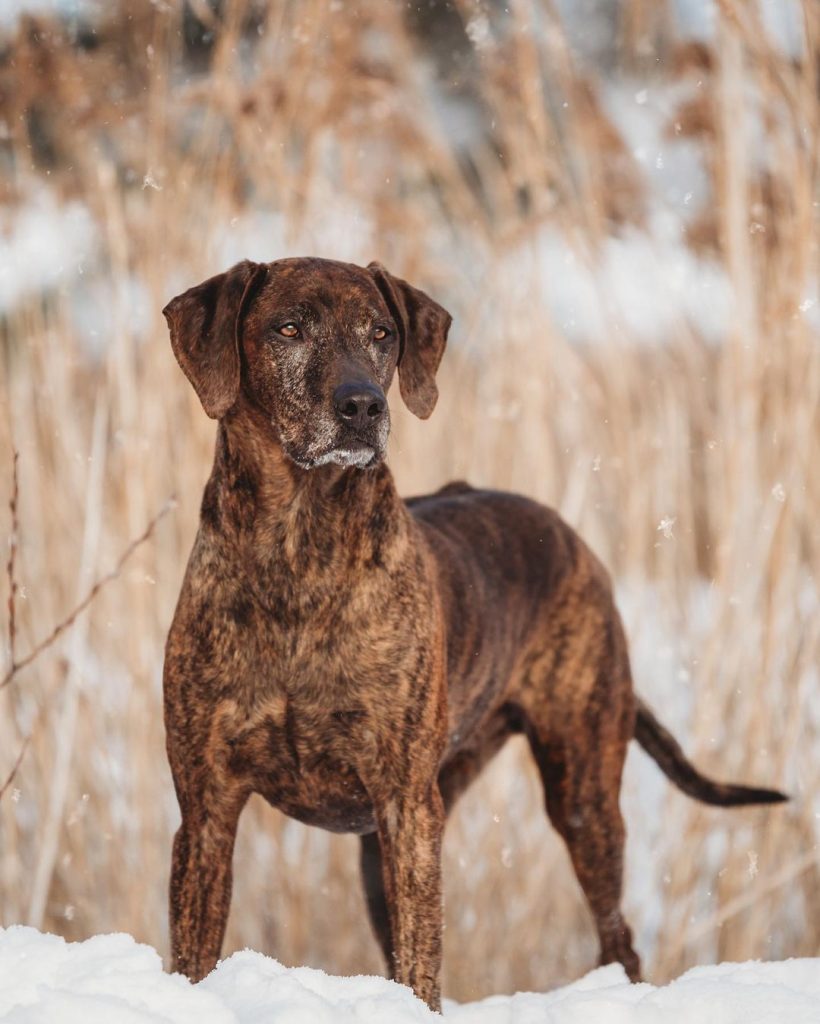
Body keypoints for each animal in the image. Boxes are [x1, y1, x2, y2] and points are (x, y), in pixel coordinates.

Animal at [161, 260, 786, 1011]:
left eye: (382, 333)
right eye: (288, 328)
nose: (364, 405)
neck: (297, 548)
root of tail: (575, 540)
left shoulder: (406, 808)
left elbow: (421, 960)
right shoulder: (206, 809)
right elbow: (194, 952)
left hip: (581, 791)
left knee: (618, 936)